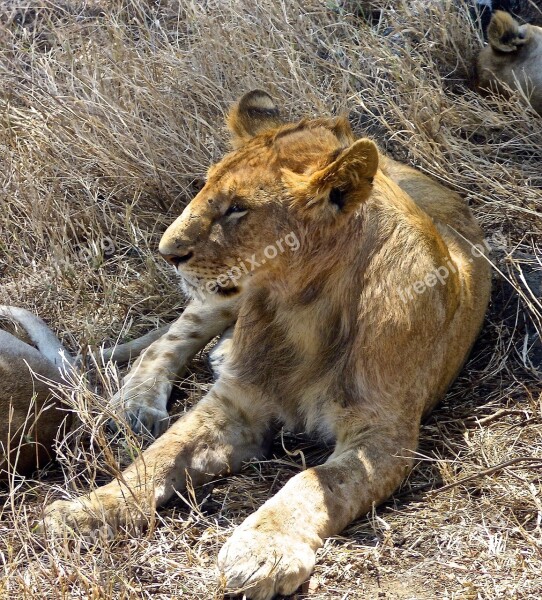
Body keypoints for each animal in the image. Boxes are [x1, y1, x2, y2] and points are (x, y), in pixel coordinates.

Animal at [41, 90, 492, 600]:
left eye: (238, 208)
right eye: (205, 189)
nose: (166, 252)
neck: (303, 309)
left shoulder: (385, 434)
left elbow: (315, 481)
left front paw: (264, 550)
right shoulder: (234, 402)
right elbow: (158, 456)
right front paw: (85, 510)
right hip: (218, 302)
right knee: (169, 341)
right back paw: (136, 405)